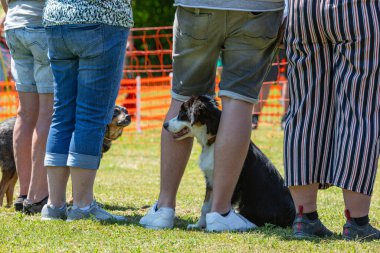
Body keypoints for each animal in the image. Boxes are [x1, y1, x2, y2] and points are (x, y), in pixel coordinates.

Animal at [0, 105, 131, 213]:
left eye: (126, 111)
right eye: (115, 111)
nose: (129, 116)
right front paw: (75, 202)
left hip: (17, 168)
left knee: (9, 188)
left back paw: (12, 205)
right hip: (10, 167)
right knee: (3, 186)